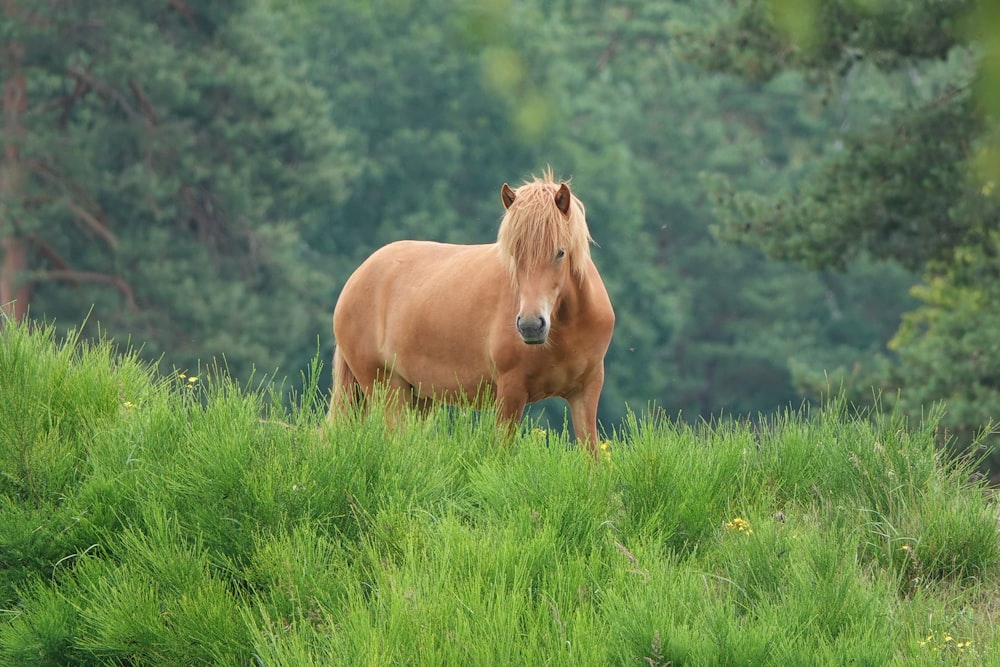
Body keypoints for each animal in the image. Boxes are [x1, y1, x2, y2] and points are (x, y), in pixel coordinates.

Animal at [328, 170, 612, 456]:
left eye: (560, 252)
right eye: (514, 254)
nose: (531, 326)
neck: (566, 329)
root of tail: (357, 276)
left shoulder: (586, 392)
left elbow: (591, 456)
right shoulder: (511, 392)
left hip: (420, 397)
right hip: (388, 389)